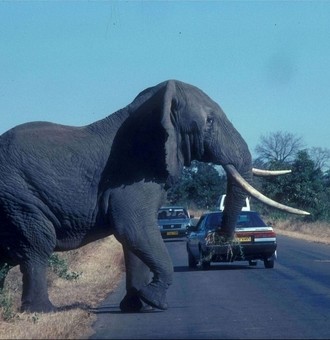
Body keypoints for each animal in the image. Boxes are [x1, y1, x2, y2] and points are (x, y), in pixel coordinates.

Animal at [0, 79, 310, 314]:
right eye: (209, 121)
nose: (221, 239)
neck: (156, 103)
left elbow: (134, 240)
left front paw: (136, 306)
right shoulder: (134, 173)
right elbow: (134, 230)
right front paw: (155, 302)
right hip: (19, 196)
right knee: (38, 244)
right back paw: (42, 311)